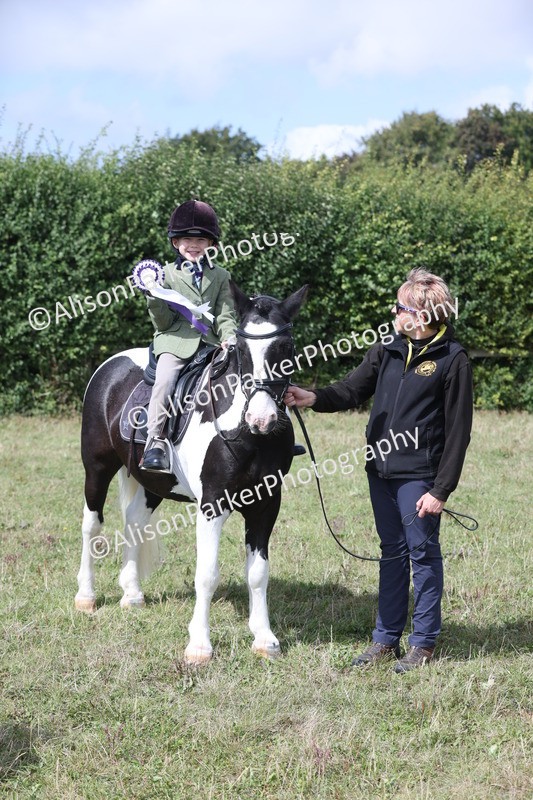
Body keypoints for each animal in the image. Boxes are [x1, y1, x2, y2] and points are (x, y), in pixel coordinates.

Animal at [75, 281, 308, 664]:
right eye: (241, 349)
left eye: (285, 347)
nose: (261, 418)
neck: (244, 434)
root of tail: (111, 365)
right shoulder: (212, 504)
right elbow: (207, 574)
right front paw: (199, 645)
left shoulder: (266, 504)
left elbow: (258, 573)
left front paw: (265, 639)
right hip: (97, 468)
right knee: (92, 525)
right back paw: (86, 596)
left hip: (152, 481)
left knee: (134, 521)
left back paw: (132, 594)